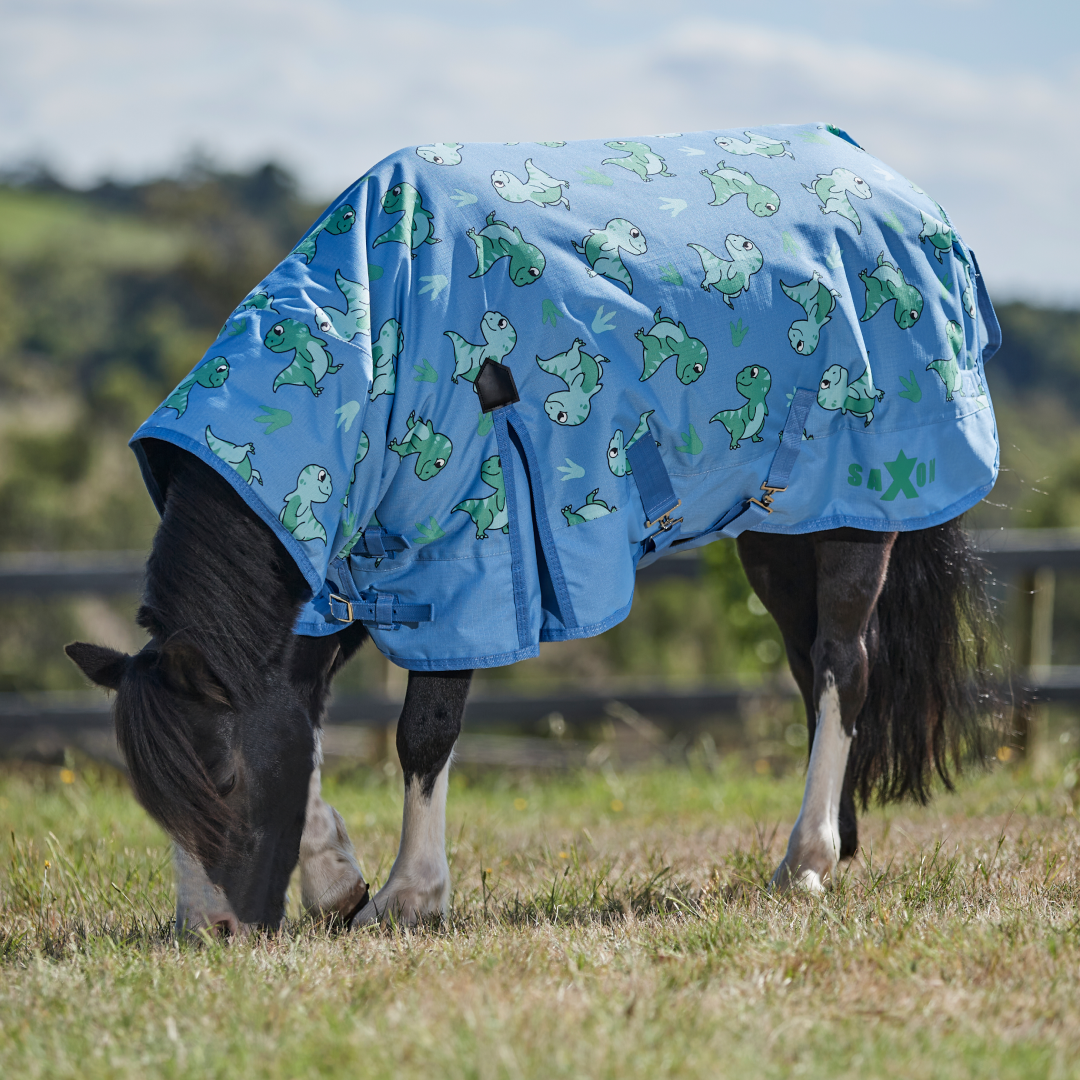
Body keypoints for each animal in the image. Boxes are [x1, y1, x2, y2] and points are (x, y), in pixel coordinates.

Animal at [65, 124, 1002, 933]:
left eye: (223, 778)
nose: (210, 932)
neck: (376, 347)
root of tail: (891, 185)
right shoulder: (347, 566)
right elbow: (304, 714)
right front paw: (335, 877)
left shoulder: (467, 553)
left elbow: (422, 731)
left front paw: (407, 897)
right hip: (781, 530)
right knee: (816, 670)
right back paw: (837, 846)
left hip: (858, 507)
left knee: (846, 663)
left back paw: (807, 857)